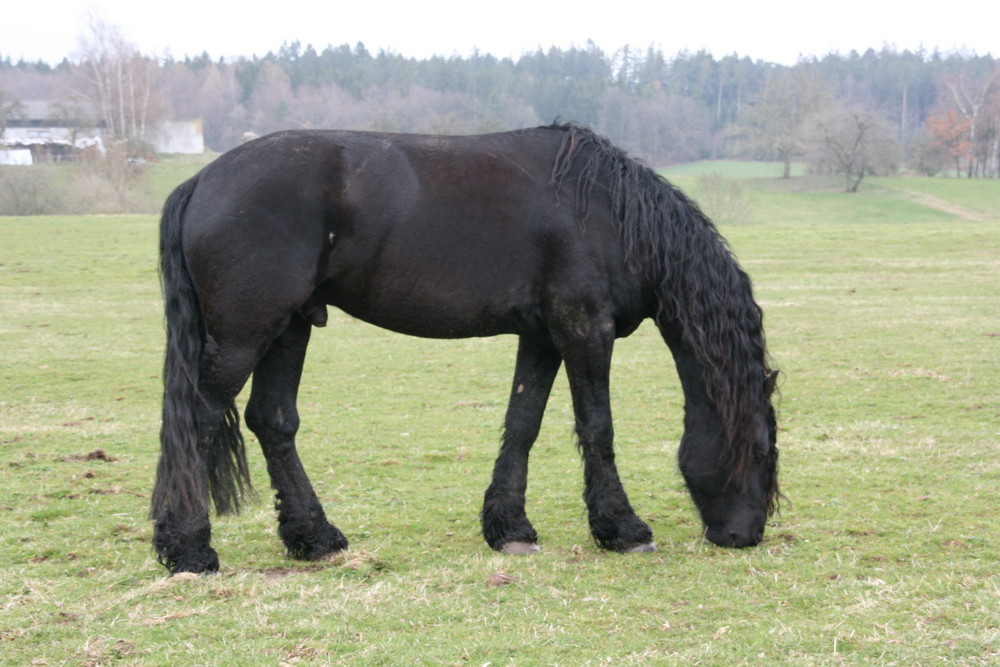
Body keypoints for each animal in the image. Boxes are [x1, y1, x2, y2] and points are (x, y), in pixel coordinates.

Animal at [150, 121, 780, 576]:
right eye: (761, 450)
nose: (745, 537)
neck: (610, 213)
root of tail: (200, 182)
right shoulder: (584, 329)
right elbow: (597, 427)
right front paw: (623, 530)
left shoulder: (543, 336)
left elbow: (523, 423)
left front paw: (511, 529)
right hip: (245, 334)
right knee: (197, 422)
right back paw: (189, 549)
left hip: (290, 328)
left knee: (273, 421)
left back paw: (315, 538)